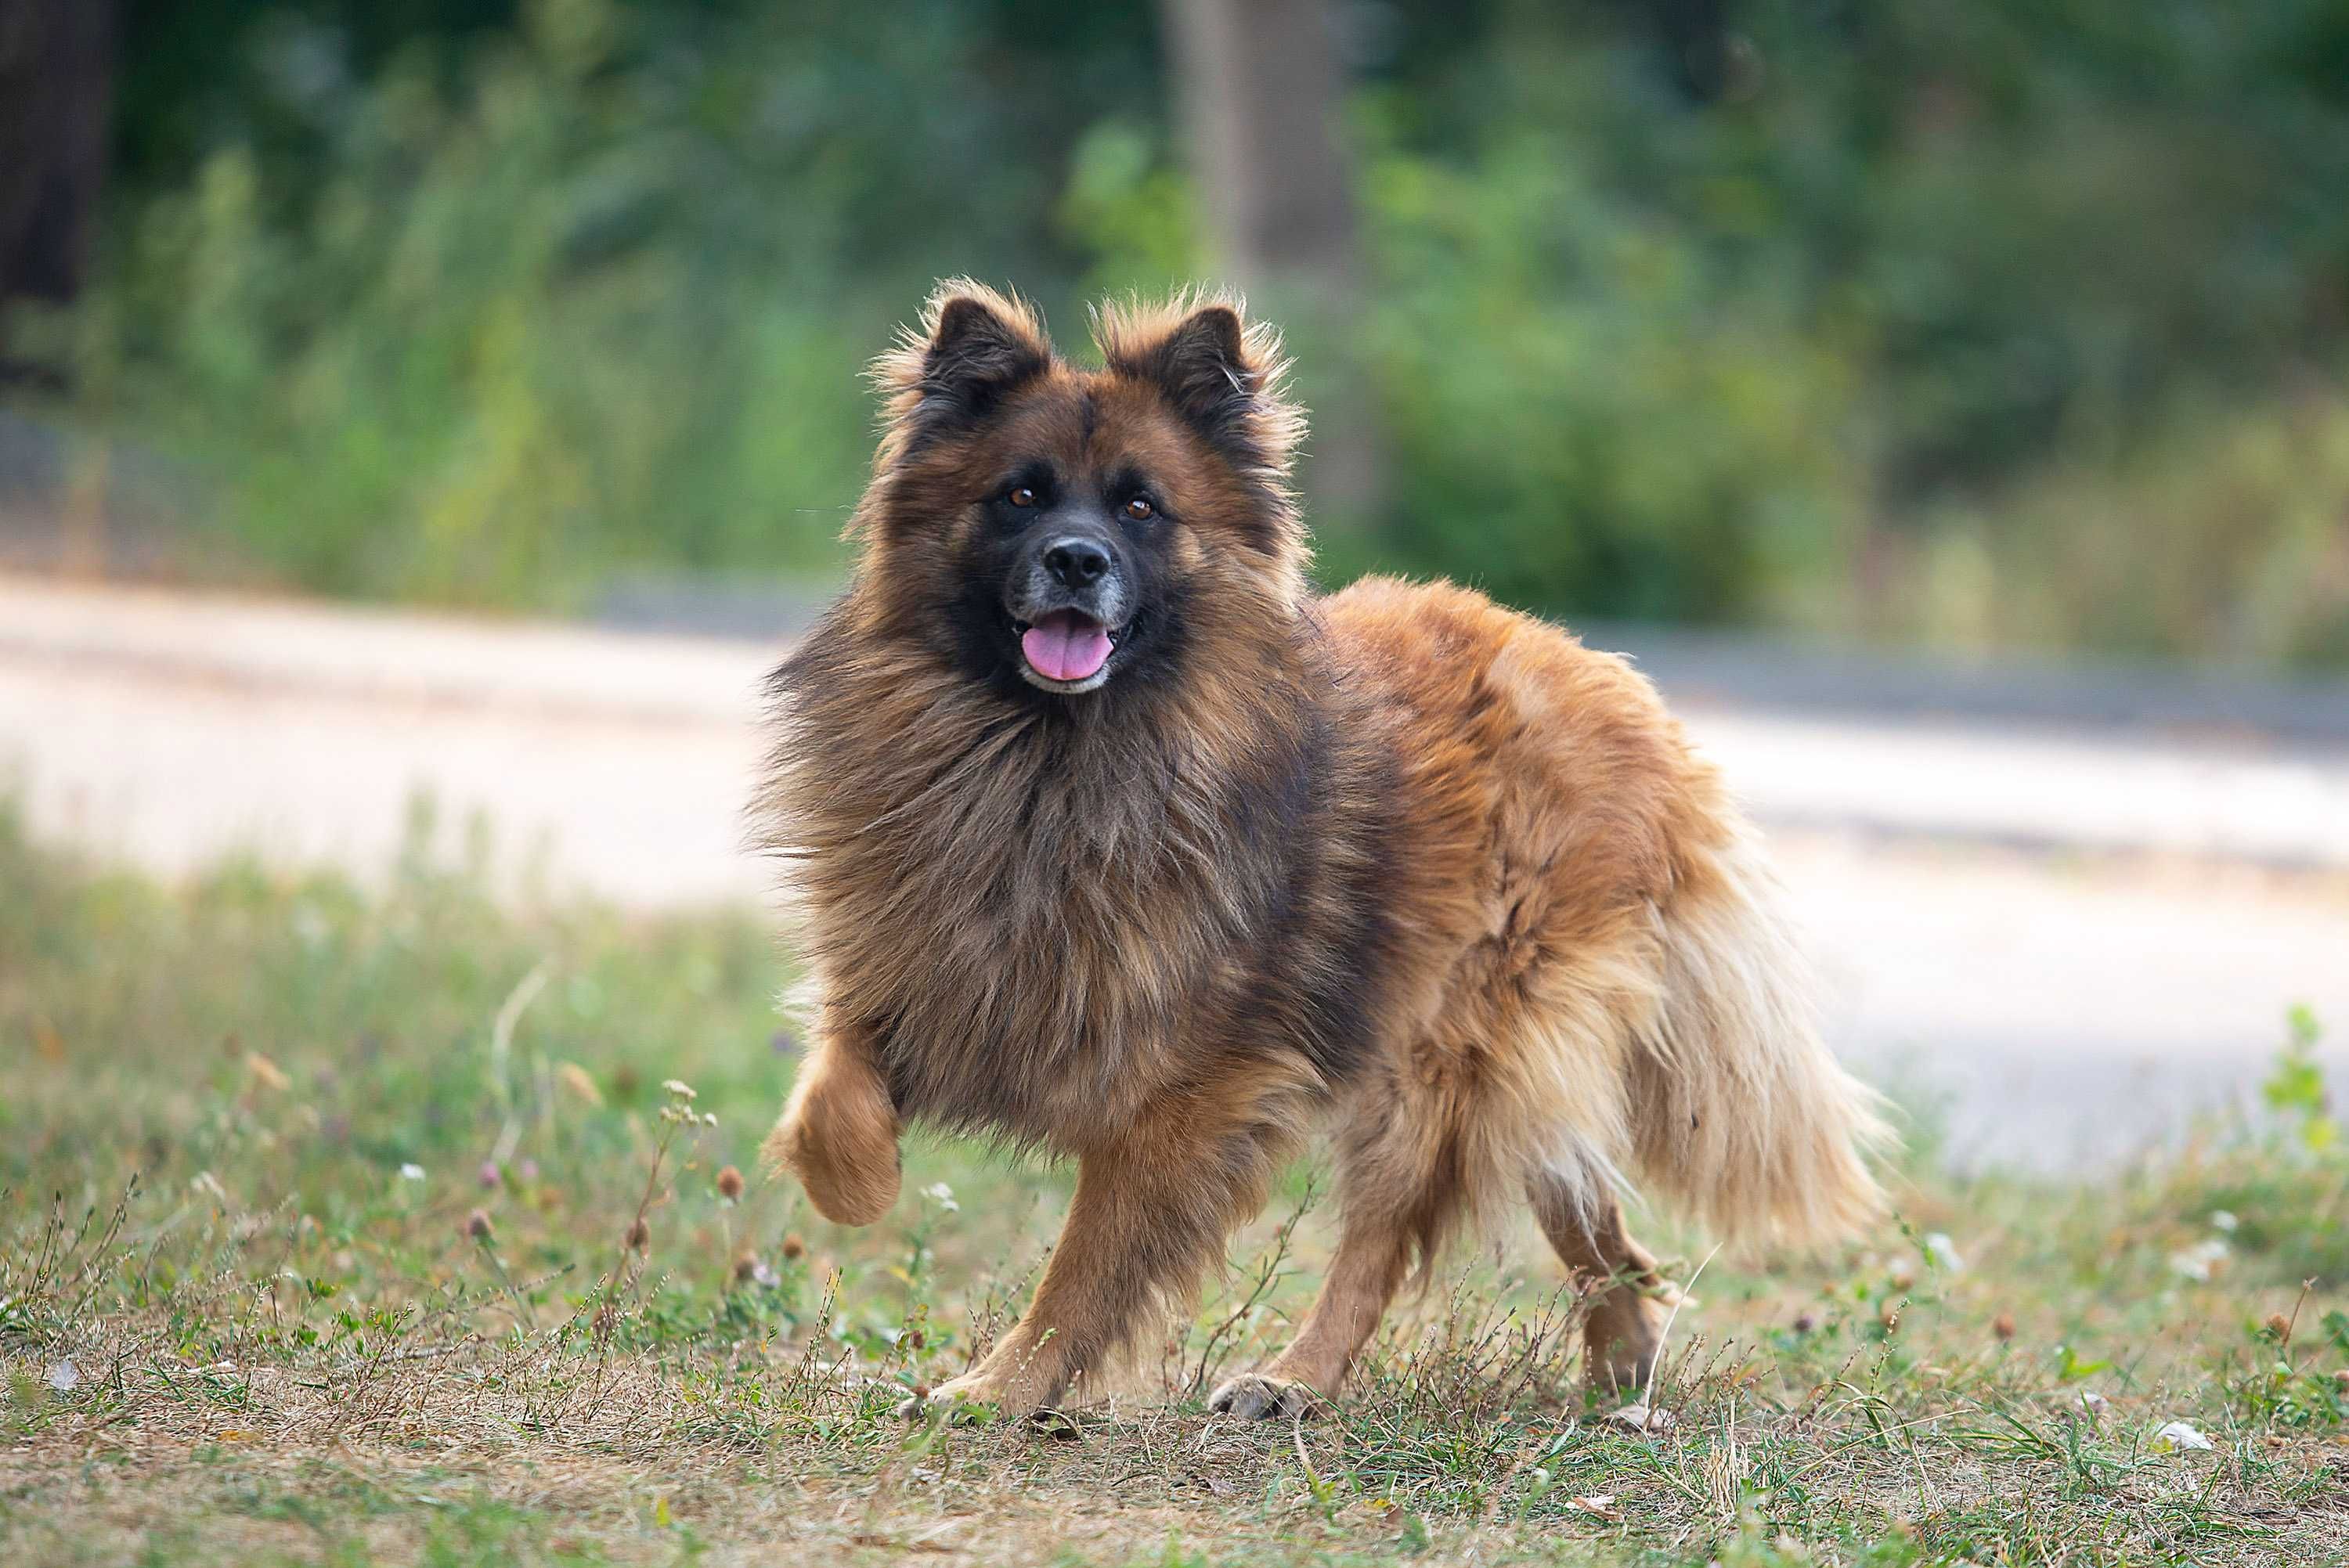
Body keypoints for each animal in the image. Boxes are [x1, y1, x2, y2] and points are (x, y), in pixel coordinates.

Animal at [752, 281, 1889, 1418]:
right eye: (1021, 495)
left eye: (1140, 508)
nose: (1077, 560)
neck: (1056, 755)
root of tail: (1621, 694)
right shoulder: (915, 956)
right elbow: (832, 1089)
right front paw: (858, 1182)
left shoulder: (1190, 1090)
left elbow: (1084, 1268)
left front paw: (1003, 1386)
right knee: (1590, 1213)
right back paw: (1620, 1369)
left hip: (1440, 1056)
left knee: (1385, 1238)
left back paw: (1297, 1374)